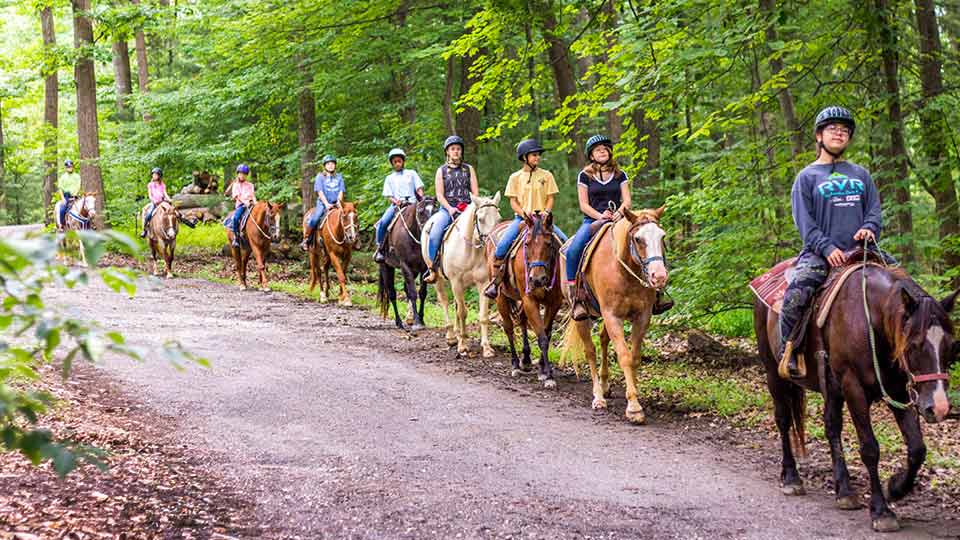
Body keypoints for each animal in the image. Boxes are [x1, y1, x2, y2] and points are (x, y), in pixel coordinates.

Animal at [376, 197, 436, 332]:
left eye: (435, 211)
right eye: (420, 211)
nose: (429, 232)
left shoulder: (423, 269)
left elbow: (422, 293)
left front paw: (421, 319)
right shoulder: (405, 266)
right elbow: (413, 293)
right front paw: (417, 322)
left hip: (413, 271)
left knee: (405, 289)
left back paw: (408, 319)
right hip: (386, 267)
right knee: (392, 293)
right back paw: (399, 322)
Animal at [420, 192, 502, 356]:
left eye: (498, 219)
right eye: (480, 219)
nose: (493, 245)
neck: (470, 250)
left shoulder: (483, 284)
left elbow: (483, 316)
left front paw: (486, 347)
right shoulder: (456, 282)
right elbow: (463, 312)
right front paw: (463, 345)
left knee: (456, 305)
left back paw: (458, 334)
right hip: (438, 279)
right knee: (445, 301)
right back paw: (452, 337)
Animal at [488, 212, 564, 388]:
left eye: (549, 244)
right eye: (527, 244)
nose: (537, 279)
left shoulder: (554, 303)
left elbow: (547, 334)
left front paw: (543, 369)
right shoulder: (530, 300)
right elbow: (542, 336)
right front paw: (548, 376)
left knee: (522, 320)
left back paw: (526, 360)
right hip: (501, 297)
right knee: (508, 328)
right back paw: (515, 365)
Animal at [556, 206, 668, 422]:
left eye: (662, 236)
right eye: (638, 239)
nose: (659, 276)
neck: (623, 270)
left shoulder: (642, 317)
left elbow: (634, 357)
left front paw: (634, 392)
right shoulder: (612, 317)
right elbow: (624, 356)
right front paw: (634, 407)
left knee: (603, 339)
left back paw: (605, 385)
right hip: (583, 316)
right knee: (590, 350)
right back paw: (598, 396)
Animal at [752, 262, 956, 532]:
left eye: (950, 346)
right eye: (913, 344)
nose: (939, 407)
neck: (870, 321)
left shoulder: (897, 390)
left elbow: (917, 448)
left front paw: (896, 488)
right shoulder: (854, 388)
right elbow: (870, 448)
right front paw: (881, 511)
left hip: (831, 390)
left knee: (831, 427)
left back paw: (845, 491)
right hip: (773, 373)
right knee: (784, 420)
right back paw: (792, 478)